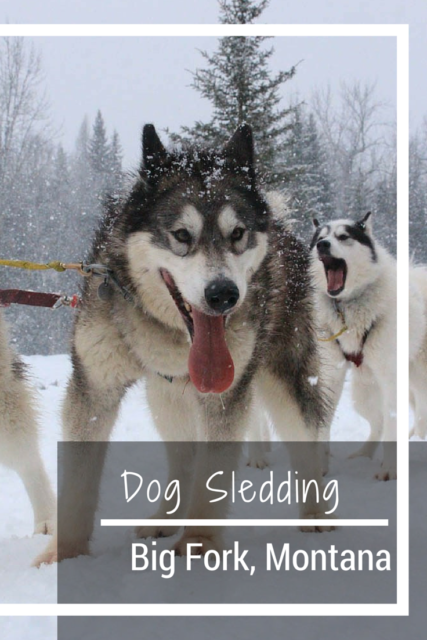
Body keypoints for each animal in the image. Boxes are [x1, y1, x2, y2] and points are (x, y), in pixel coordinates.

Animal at [310, 212, 398, 478]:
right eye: (320, 237)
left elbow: (393, 422)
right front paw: (319, 468)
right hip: (364, 395)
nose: (323, 245)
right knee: (378, 423)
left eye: (343, 236)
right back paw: (364, 454)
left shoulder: (390, 377)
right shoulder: (330, 374)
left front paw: (390, 470)